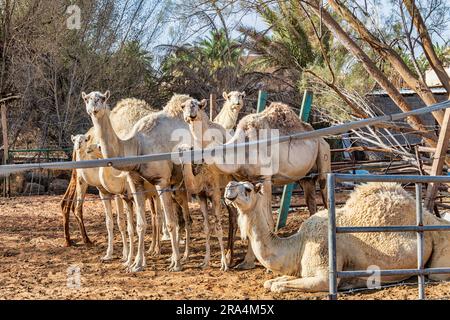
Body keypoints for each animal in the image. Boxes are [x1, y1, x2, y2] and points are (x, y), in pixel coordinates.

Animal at [83, 90, 192, 272]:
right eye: (87, 99)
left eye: (102, 98)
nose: (93, 109)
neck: (137, 146)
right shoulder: (136, 183)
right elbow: (140, 224)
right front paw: (137, 264)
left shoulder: (161, 181)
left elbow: (170, 223)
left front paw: (176, 265)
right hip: (176, 184)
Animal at [227, 180, 450, 292]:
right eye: (233, 182)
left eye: (247, 188)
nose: (228, 189)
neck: (299, 243)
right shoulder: (301, 270)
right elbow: (272, 282)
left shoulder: (324, 269)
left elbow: (278, 287)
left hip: (440, 255)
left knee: (434, 274)